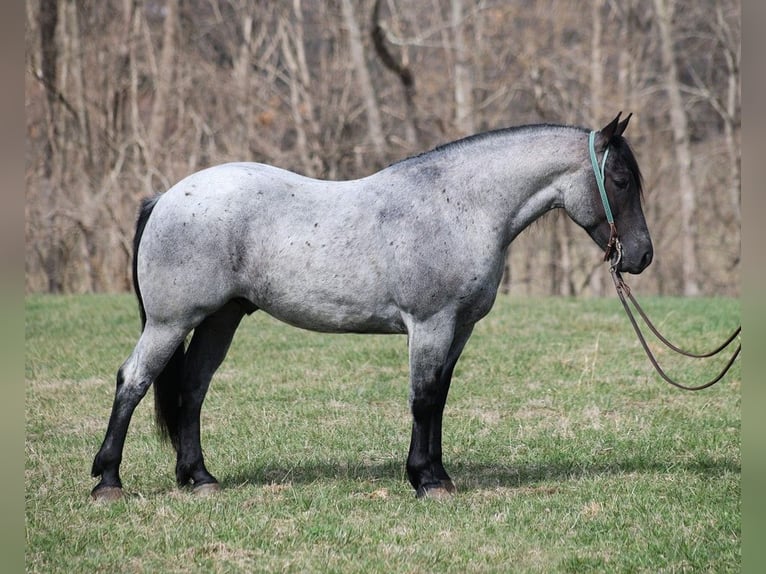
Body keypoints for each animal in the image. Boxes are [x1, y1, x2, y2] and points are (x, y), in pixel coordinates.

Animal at [90, 113, 656, 504]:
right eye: (621, 181)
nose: (642, 256)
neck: (459, 206)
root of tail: (166, 196)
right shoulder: (431, 324)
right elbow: (423, 398)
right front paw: (426, 481)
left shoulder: (459, 329)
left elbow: (439, 398)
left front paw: (437, 474)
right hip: (171, 323)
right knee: (133, 381)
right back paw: (108, 482)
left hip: (219, 320)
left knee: (191, 390)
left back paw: (200, 479)